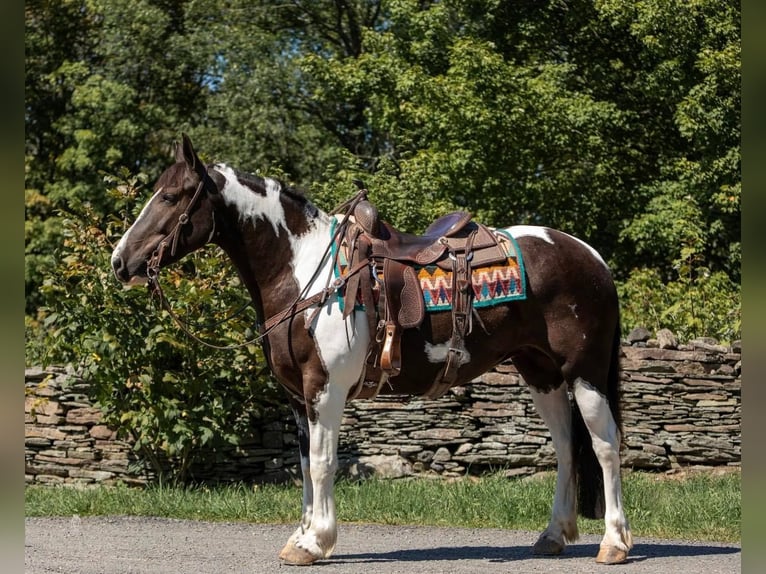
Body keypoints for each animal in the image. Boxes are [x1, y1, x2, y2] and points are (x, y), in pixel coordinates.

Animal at [111, 135, 632, 568]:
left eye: (171, 197)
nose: (120, 262)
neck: (307, 272)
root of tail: (593, 258)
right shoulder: (297, 396)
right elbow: (305, 464)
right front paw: (302, 536)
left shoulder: (325, 389)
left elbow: (323, 462)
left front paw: (315, 541)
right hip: (542, 373)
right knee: (565, 448)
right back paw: (554, 535)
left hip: (585, 372)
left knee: (604, 446)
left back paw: (614, 543)